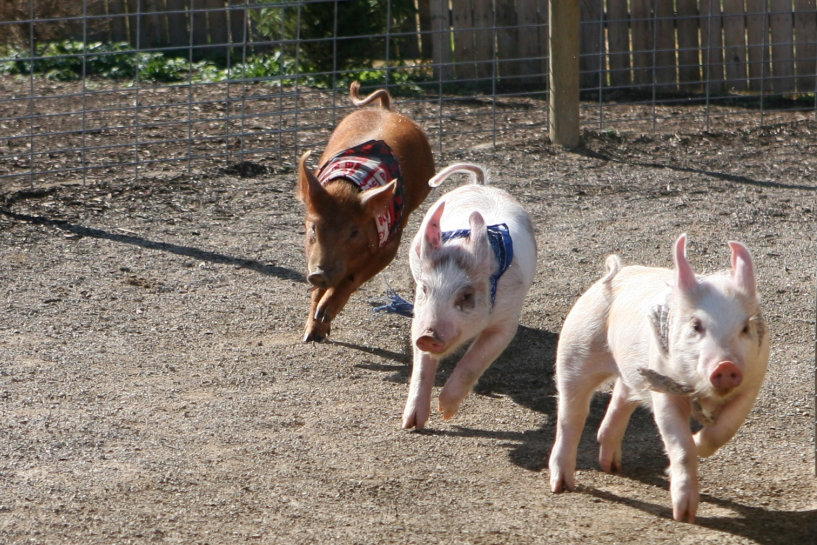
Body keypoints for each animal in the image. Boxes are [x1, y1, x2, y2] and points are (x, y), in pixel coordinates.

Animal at [294, 82, 434, 340]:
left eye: (354, 232)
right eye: (313, 227)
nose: (319, 273)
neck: (346, 187)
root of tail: (386, 110)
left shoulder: (389, 245)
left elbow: (352, 277)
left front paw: (324, 316)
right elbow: (318, 289)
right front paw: (311, 335)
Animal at [400, 163, 536, 430]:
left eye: (466, 295)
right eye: (425, 289)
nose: (428, 337)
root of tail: (481, 184)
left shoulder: (507, 320)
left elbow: (473, 361)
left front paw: (446, 413)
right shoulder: (419, 317)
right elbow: (421, 367)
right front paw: (411, 425)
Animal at [548, 235, 764, 524]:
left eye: (745, 328)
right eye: (696, 326)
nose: (726, 366)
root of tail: (613, 275)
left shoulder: (752, 383)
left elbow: (724, 430)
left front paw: (695, 444)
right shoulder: (663, 386)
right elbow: (680, 445)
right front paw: (683, 515)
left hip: (632, 371)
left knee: (621, 396)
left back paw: (612, 466)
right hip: (574, 350)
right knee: (571, 416)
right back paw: (562, 486)